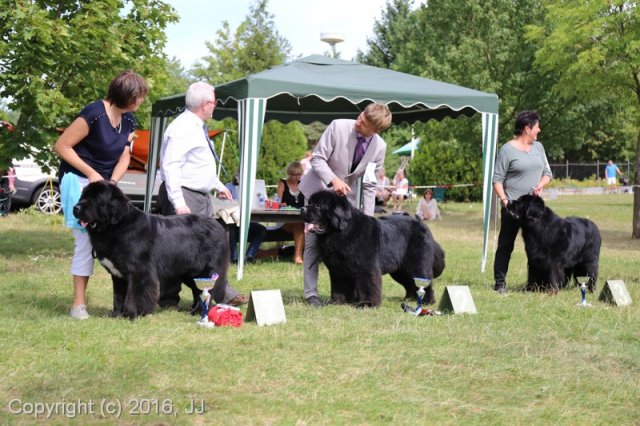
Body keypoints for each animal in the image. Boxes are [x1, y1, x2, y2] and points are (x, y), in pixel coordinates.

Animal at [74, 181, 229, 318]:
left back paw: (200, 311)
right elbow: (118, 295)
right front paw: (116, 314)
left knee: (209, 291)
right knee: (197, 291)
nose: (76, 208)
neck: (117, 226)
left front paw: (132, 314)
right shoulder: (118, 275)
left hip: (207, 271)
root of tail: (217, 225)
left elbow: (135, 294)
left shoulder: (139, 272)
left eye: (94, 199)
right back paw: (195, 311)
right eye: (82, 196)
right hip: (189, 273)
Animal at [300, 191, 444, 308]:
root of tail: (422, 224)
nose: (302, 209)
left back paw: (427, 301)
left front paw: (367, 304)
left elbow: (368, 285)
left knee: (425, 282)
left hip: (417, 265)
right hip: (400, 271)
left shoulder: (366, 268)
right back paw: (410, 299)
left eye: (317, 206)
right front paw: (337, 301)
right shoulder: (337, 270)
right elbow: (338, 286)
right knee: (410, 283)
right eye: (309, 202)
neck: (342, 232)